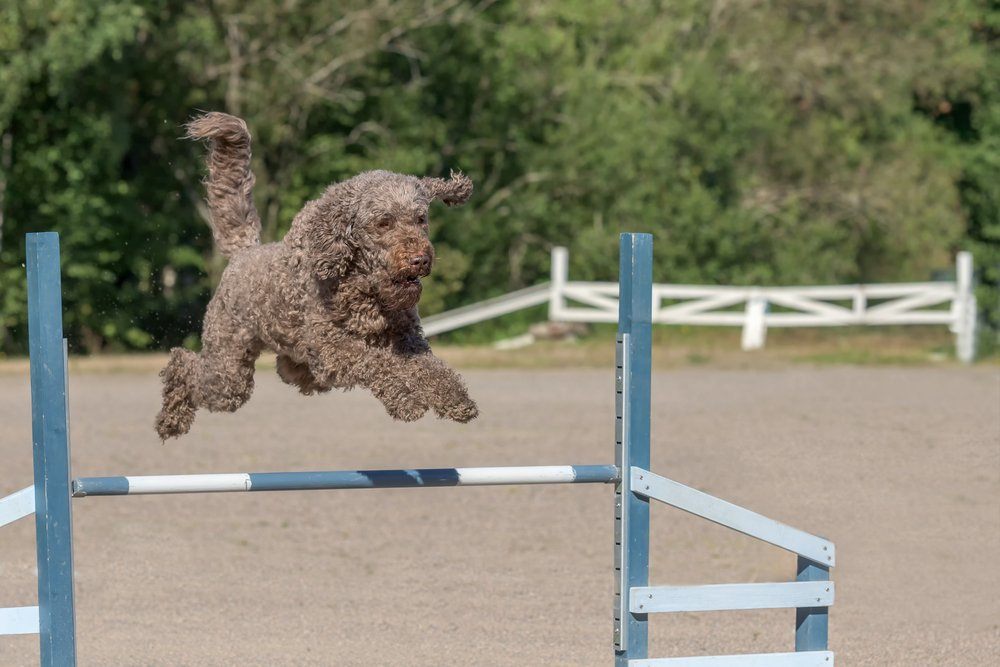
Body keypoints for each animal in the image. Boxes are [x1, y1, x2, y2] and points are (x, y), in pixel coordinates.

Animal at [157, 112, 480, 440]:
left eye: (420, 219)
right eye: (384, 223)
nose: (421, 259)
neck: (364, 289)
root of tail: (244, 252)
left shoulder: (408, 339)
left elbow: (431, 369)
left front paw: (453, 397)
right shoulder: (333, 347)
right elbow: (378, 362)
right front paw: (405, 400)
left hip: (295, 365)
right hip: (229, 370)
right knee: (186, 365)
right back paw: (171, 416)